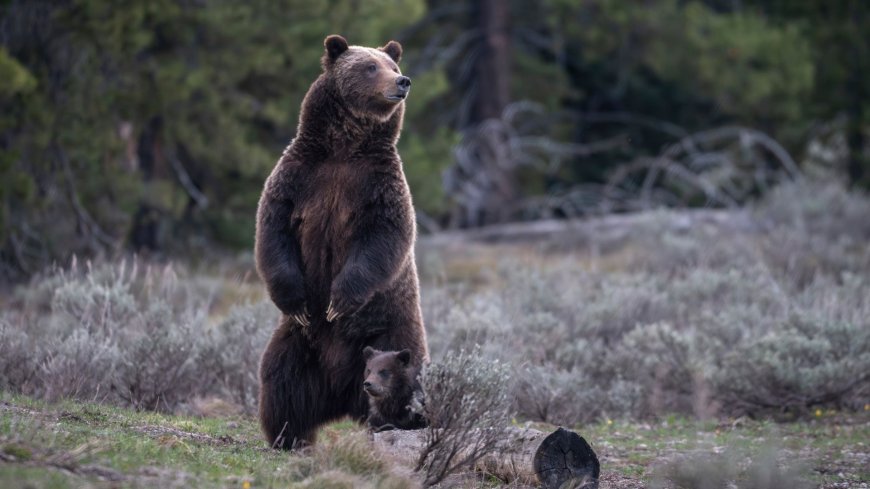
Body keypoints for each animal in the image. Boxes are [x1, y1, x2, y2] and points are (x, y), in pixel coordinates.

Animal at [254, 33, 428, 446]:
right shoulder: (299, 177)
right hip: (300, 345)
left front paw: (339, 301)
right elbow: (274, 231)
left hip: (394, 332)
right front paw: (299, 301)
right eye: (370, 66)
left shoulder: (379, 186)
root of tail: (341, 392)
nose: (403, 82)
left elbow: (383, 238)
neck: (344, 148)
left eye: (392, 65)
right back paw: (288, 436)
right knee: (281, 381)